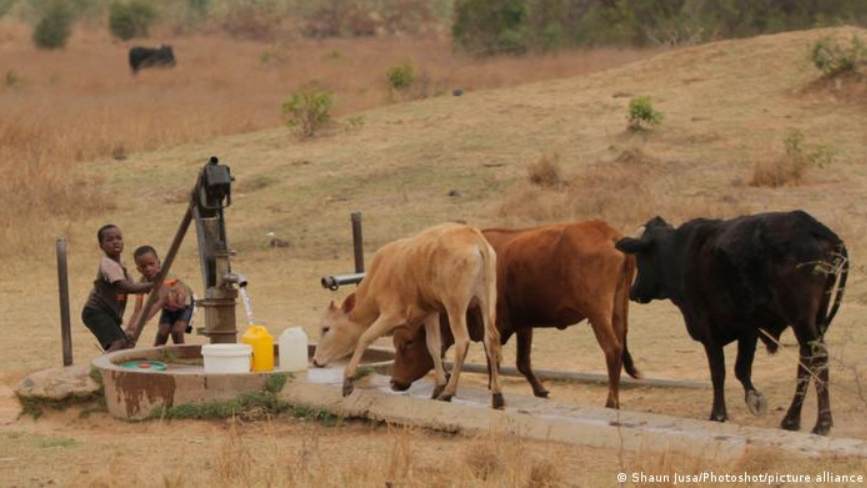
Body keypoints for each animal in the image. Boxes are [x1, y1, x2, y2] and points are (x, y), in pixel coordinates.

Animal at [311, 222, 505, 409]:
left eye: (326, 328)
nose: (314, 360)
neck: (380, 272)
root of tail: (474, 237)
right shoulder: (431, 312)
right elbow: (434, 346)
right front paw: (438, 385)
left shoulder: (391, 315)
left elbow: (365, 337)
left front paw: (348, 379)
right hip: (486, 300)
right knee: (491, 339)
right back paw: (497, 396)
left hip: (455, 306)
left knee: (462, 342)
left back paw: (449, 393)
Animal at [390, 220, 639, 409]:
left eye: (407, 343)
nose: (393, 382)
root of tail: (606, 231)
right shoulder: (523, 324)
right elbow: (522, 362)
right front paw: (538, 390)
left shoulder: (493, 325)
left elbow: (495, 359)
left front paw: (493, 391)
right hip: (618, 312)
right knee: (619, 347)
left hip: (598, 313)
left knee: (612, 350)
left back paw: (611, 401)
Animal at [615, 211, 848, 435]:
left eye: (640, 258)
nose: (633, 292)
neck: (679, 251)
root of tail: (814, 227)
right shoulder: (748, 329)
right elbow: (741, 369)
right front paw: (754, 398)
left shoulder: (708, 329)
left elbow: (719, 371)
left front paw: (718, 413)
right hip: (815, 319)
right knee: (806, 361)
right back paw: (792, 420)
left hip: (801, 319)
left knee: (817, 359)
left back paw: (822, 423)